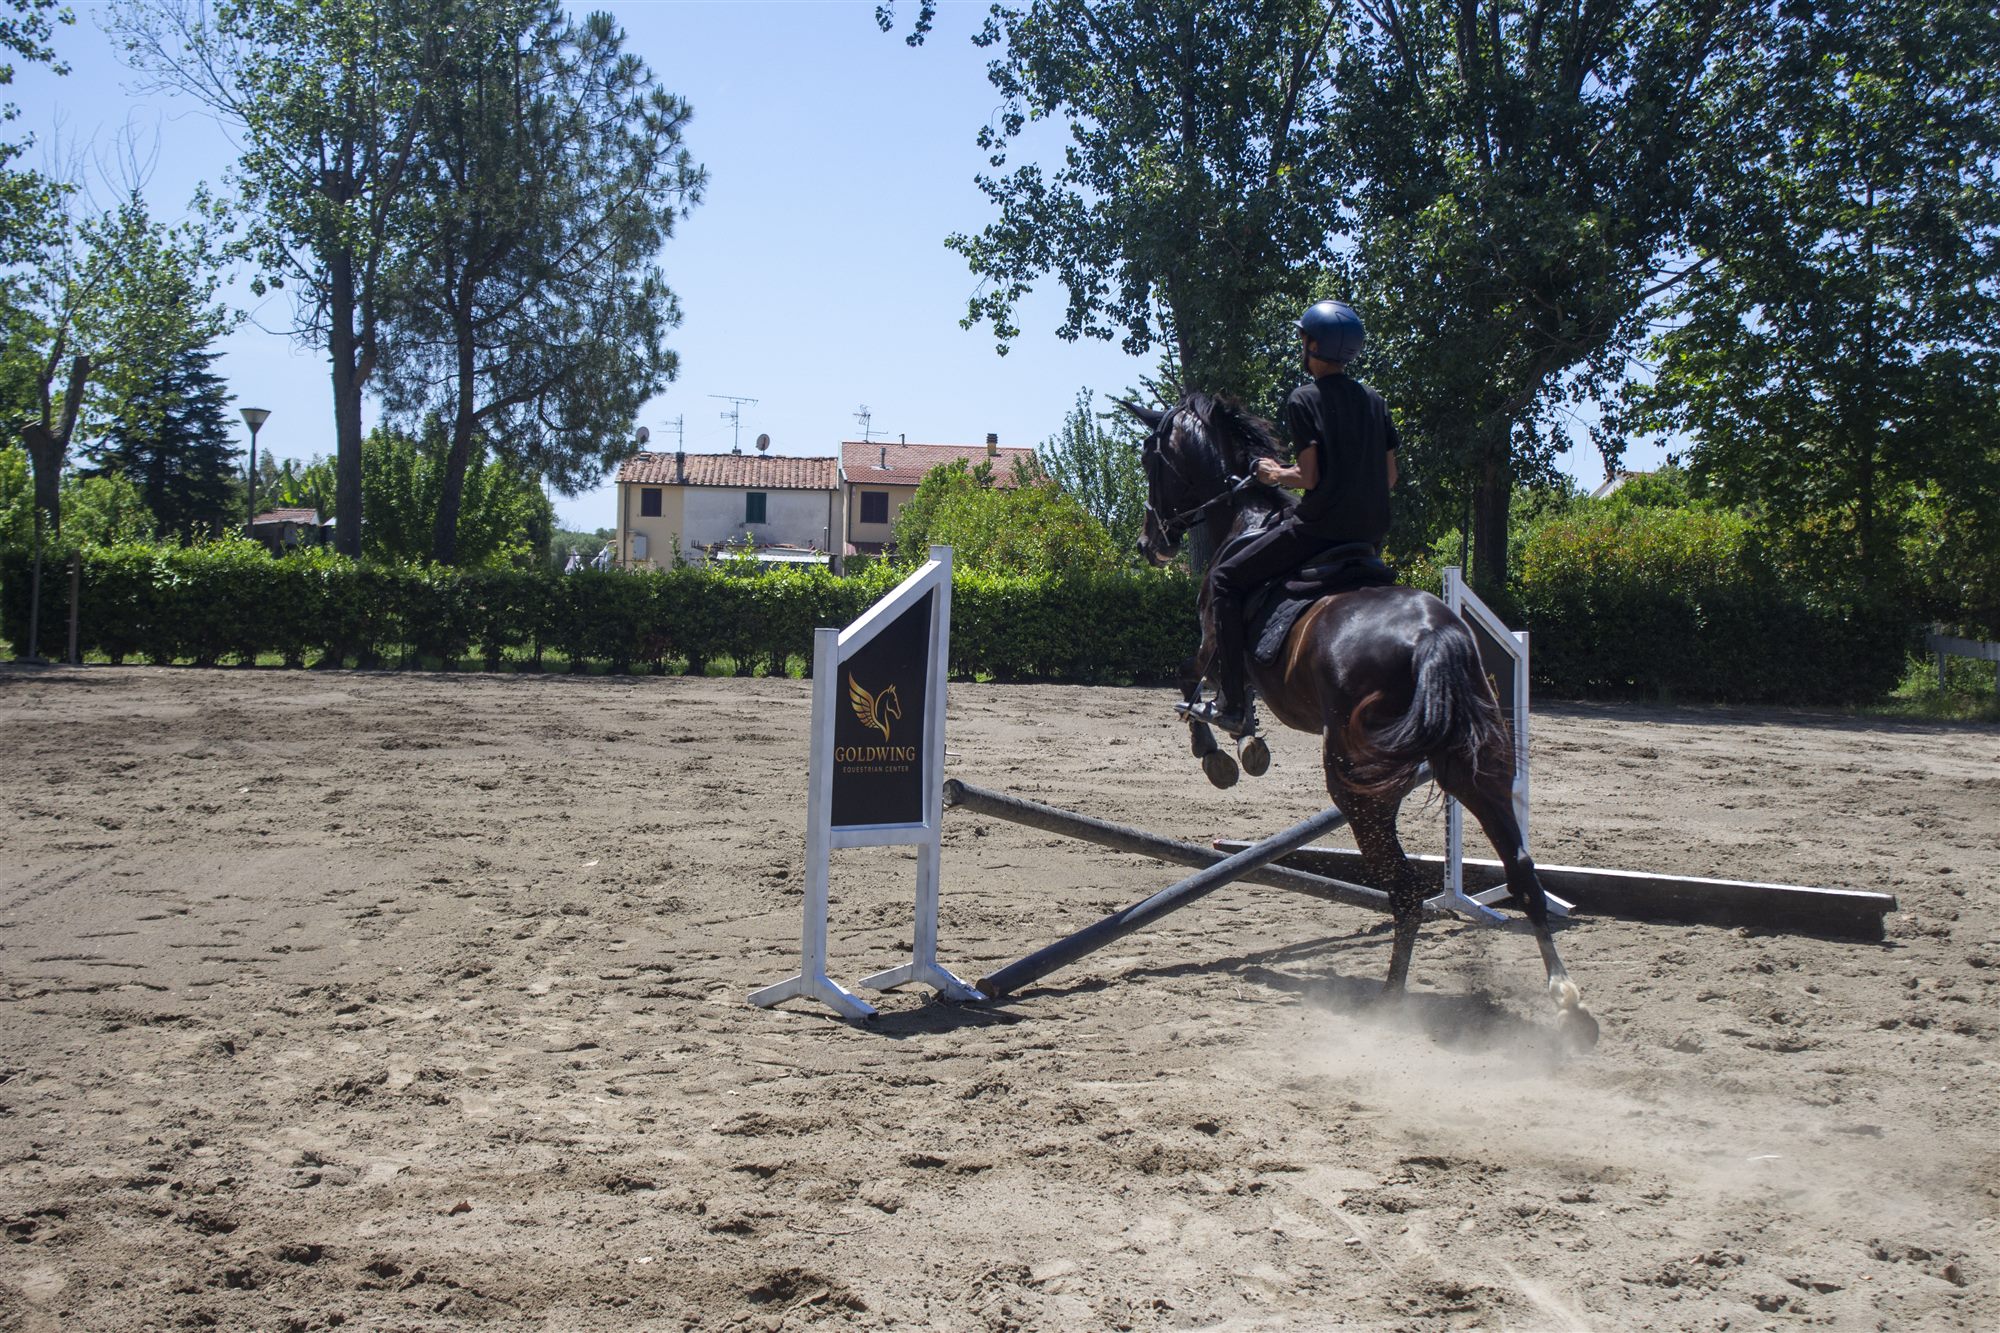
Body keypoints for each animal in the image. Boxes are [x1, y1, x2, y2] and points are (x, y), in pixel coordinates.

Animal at [1123, 392, 1598, 1048]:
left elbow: (1193, 685)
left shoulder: (1214, 631)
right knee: (1521, 875)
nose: (1152, 543)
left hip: (1359, 786)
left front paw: (1224, 748)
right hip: (1478, 772)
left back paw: (1389, 1006)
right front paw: (1240, 743)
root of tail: (1436, 635)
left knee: (1405, 890)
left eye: (1153, 461)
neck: (1245, 516)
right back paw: (1567, 1004)